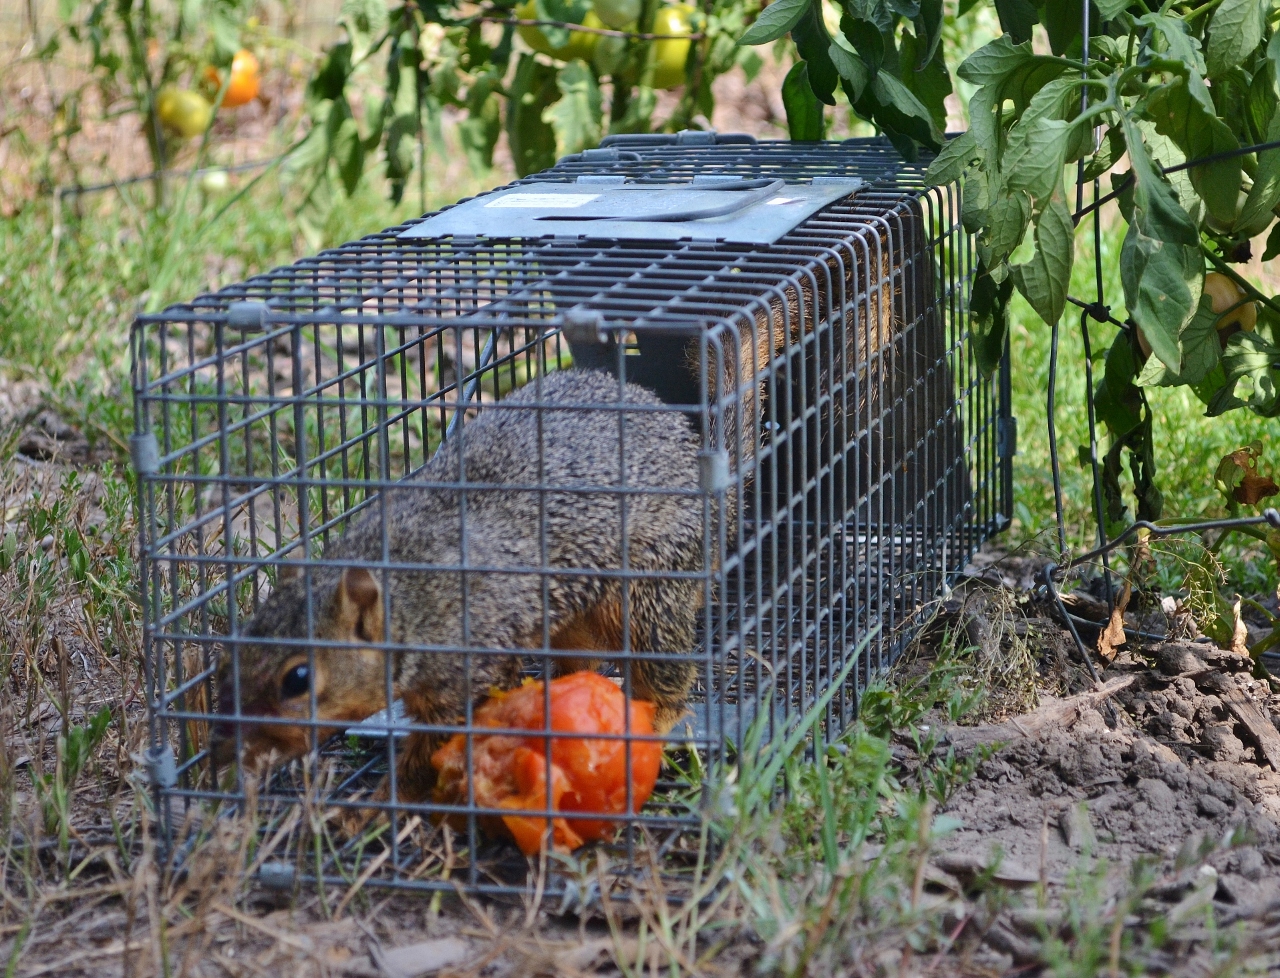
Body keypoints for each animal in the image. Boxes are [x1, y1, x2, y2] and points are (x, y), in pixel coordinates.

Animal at [212, 369, 705, 801]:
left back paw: (653, 721)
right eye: (231, 655)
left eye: (297, 679)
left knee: (665, 673)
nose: (227, 747)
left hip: (650, 590)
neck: (410, 597)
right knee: (583, 659)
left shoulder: (467, 670)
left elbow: (432, 752)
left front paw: (377, 808)